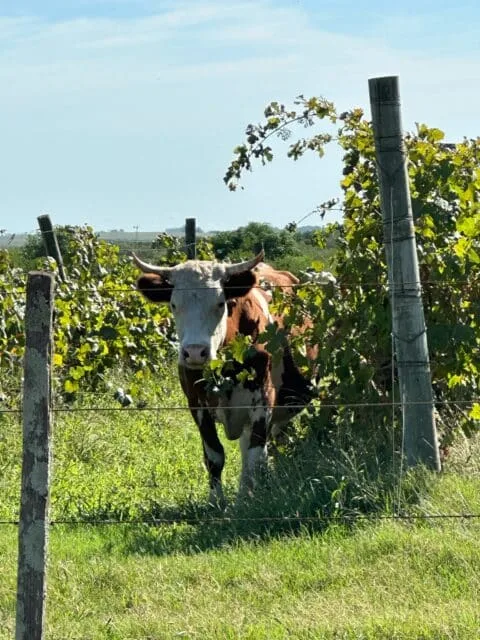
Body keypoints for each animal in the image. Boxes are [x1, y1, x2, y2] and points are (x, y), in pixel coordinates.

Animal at [132, 250, 315, 507]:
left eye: (220, 303)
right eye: (174, 305)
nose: (195, 352)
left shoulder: (263, 401)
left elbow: (254, 457)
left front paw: (248, 501)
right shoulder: (197, 404)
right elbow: (214, 456)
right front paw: (216, 501)